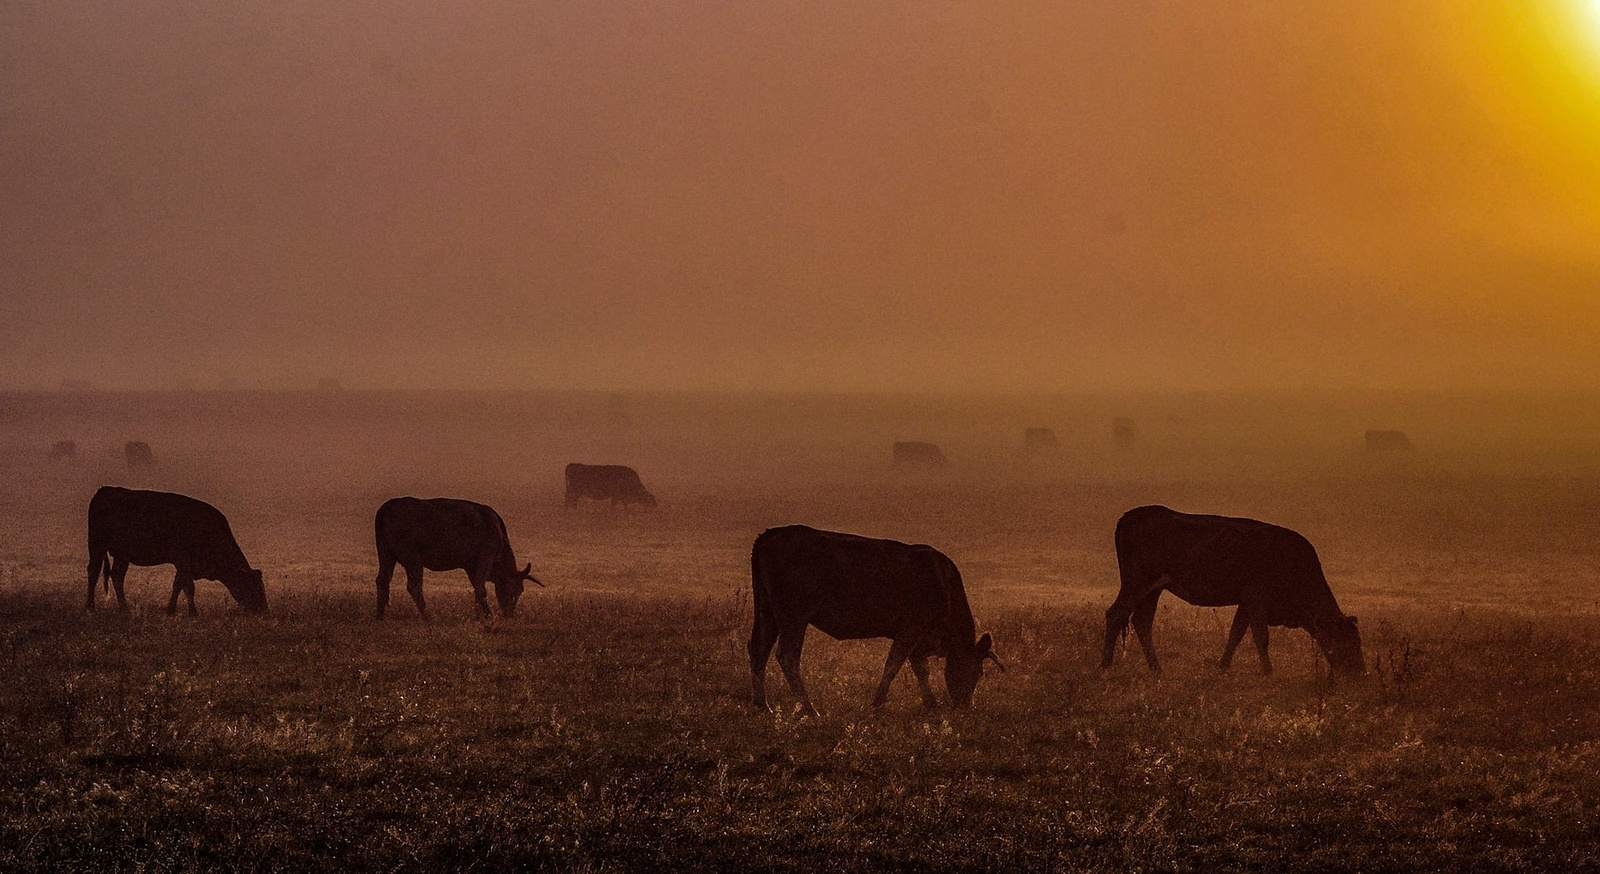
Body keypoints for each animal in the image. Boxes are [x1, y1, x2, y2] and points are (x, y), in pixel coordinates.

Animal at [86, 483, 268, 611]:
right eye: (254, 587)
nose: (263, 609)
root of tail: (104, 490)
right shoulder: (182, 559)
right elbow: (188, 587)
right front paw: (193, 612)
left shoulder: (185, 564)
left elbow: (178, 585)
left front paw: (171, 609)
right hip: (97, 545)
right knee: (93, 571)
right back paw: (90, 607)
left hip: (122, 555)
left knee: (117, 576)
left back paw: (124, 608)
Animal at [372, 496, 544, 617]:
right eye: (516, 590)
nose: (509, 614)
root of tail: (384, 510)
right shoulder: (486, 556)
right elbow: (480, 587)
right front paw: (488, 615)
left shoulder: (470, 565)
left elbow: (476, 587)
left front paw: (479, 615)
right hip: (412, 559)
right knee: (414, 587)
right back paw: (428, 616)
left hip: (386, 554)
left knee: (382, 580)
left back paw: (380, 615)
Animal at [748, 525, 998, 713]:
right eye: (979, 672)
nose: (966, 706)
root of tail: (773, 533)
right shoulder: (911, 629)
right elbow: (894, 665)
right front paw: (877, 703)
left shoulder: (916, 639)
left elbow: (920, 670)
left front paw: (931, 703)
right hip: (794, 616)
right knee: (787, 655)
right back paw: (810, 709)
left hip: (768, 613)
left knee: (758, 648)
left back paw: (763, 705)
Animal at [1100, 502, 1363, 672]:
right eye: (1348, 641)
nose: (1359, 672)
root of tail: (1131, 516)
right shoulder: (1256, 598)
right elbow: (1261, 637)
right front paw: (1268, 672)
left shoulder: (1245, 601)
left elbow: (1235, 634)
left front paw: (1222, 667)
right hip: (1136, 584)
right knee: (1116, 614)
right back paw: (1106, 666)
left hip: (1152, 590)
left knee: (1142, 622)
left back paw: (1157, 670)